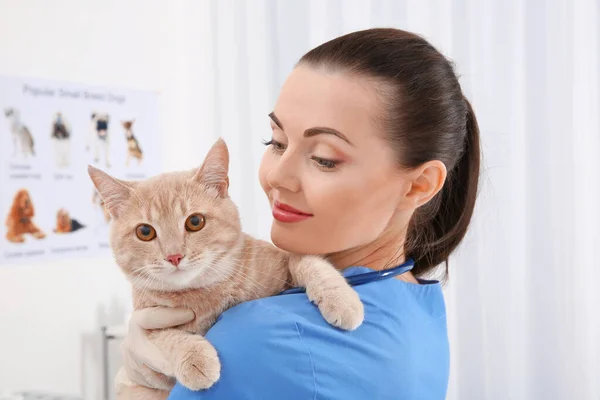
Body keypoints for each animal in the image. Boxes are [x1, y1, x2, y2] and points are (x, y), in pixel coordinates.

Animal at [86, 138, 364, 400]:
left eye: (195, 222)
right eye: (145, 232)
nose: (174, 256)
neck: (208, 292)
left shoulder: (283, 260)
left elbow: (309, 261)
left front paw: (341, 300)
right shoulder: (147, 324)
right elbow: (169, 337)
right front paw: (195, 358)